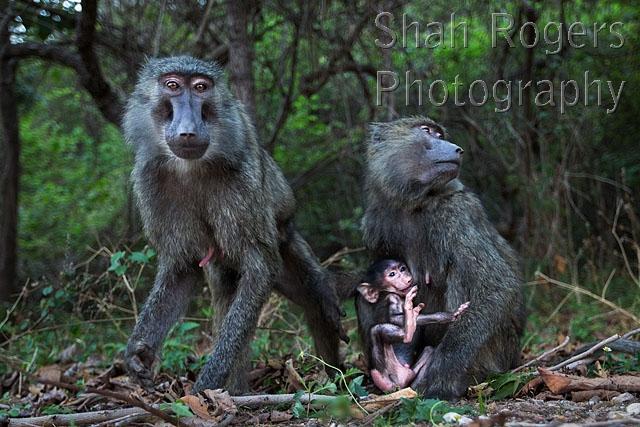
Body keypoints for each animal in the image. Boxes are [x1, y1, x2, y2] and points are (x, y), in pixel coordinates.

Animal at [122, 56, 346, 394]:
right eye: (172, 85)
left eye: (201, 87)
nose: (188, 131)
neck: (191, 168)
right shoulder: (150, 181)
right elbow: (182, 269)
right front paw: (139, 353)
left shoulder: (240, 179)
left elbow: (259, 267)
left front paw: (208, 380)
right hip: (223, 270)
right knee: (228, 296)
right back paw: (238, 392)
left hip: (287, 243)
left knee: (313, 301)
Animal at [355, 259, 469, 392]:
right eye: (392, 274)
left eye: (402, 269)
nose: (407, 278)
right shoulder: (392, 297)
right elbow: (396, 318)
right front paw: (446, 316)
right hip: (388, 371)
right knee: (377, 330)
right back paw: (408, 328)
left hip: (407, 374)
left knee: (428, 351)